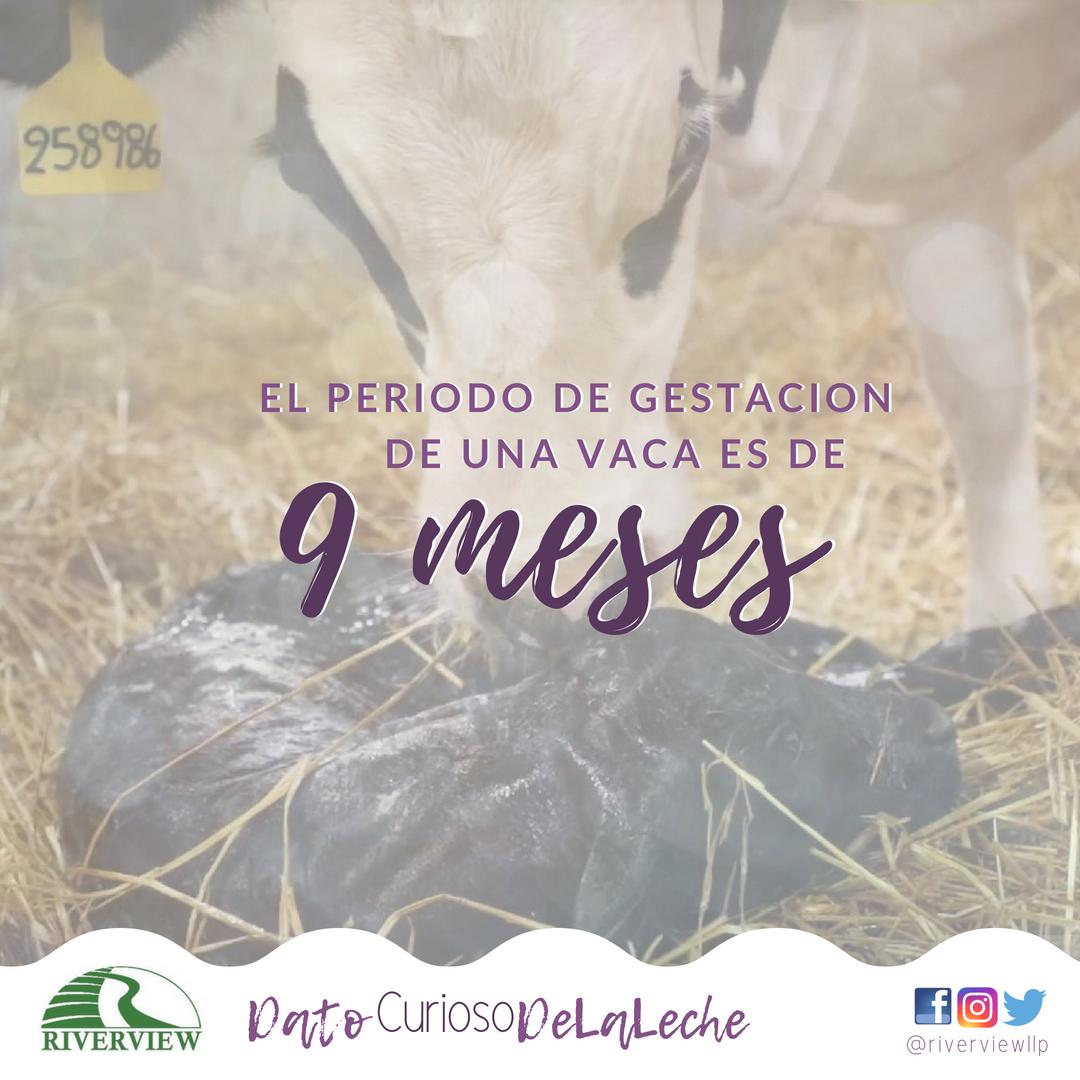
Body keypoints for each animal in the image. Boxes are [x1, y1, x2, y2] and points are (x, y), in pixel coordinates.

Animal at [3, 0, 1077, 631]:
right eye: (317, 186)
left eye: (684, 153)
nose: (537, 579)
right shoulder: (935, 175)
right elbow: (983, 386)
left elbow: (983, 395)